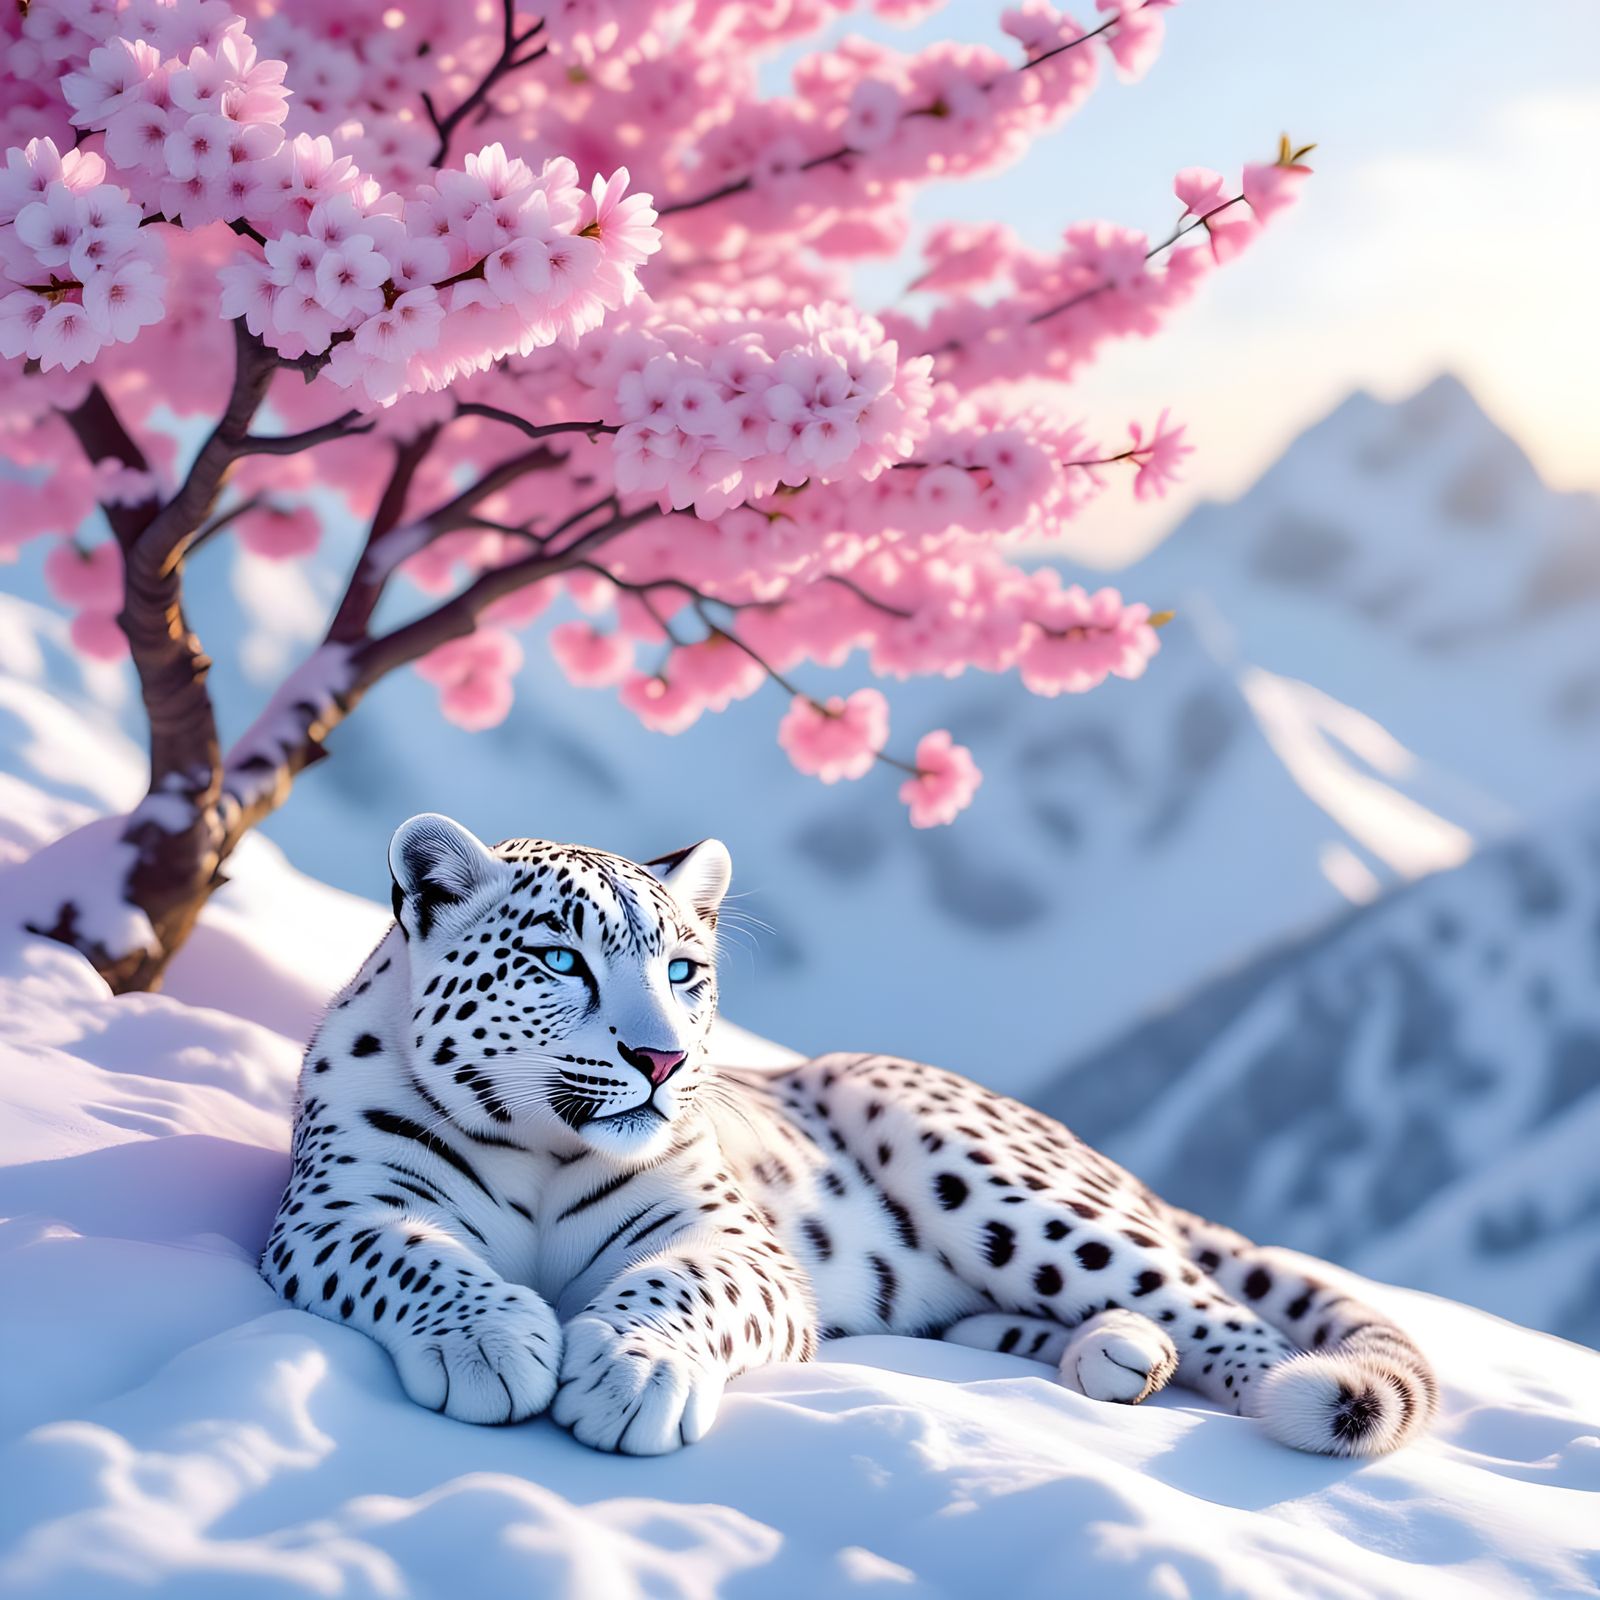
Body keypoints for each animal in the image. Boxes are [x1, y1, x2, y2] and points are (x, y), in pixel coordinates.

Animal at [260, 812, 1438, 1457]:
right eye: (559, 960)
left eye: (683, 970)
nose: (662, 1058)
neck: (553, 1150)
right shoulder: (334, 1211)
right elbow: (415, 1258)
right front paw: (491, 1344)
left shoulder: (740, 1244)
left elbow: (678, 1287)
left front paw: (630, 1375)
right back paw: (1116, 1357)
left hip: (997, 1183)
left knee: (1232, 1320)